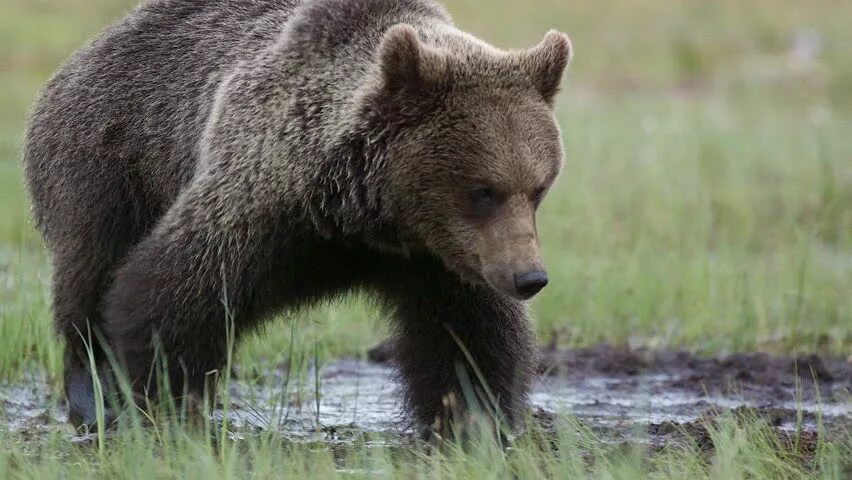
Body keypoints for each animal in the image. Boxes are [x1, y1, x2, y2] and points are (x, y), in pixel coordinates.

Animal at [23, 0, 576, 436]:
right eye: (483, 191)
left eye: (538, 187)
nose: (530, 278)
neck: (365, 216)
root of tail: (90, 50)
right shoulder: (262, 203)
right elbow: (170, 295)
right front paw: (161, 403)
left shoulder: (444, 257)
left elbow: (471, 336)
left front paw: (475, 421)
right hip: (108, 162)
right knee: (89, 271)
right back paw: (92, 398)